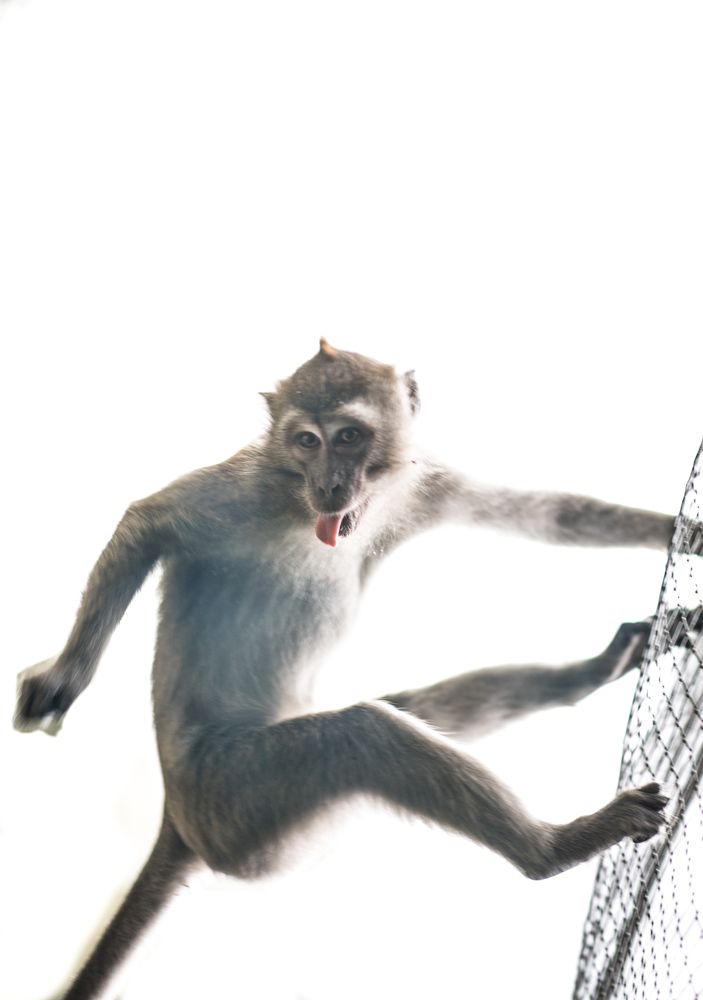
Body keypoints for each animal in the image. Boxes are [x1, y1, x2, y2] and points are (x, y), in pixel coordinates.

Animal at [13, 338, 699, 1000]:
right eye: (306, 441)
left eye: (348, 436)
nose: (328, 485)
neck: (306, 504)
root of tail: (177, 820)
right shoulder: (250, 485)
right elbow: (146, 523)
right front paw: (63, 680)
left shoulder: (422, 486)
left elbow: (547, 514)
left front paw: (687, 532)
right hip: (235, 798)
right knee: (367, 733)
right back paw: (553, 849)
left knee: (406, 714)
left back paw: (583, 678)